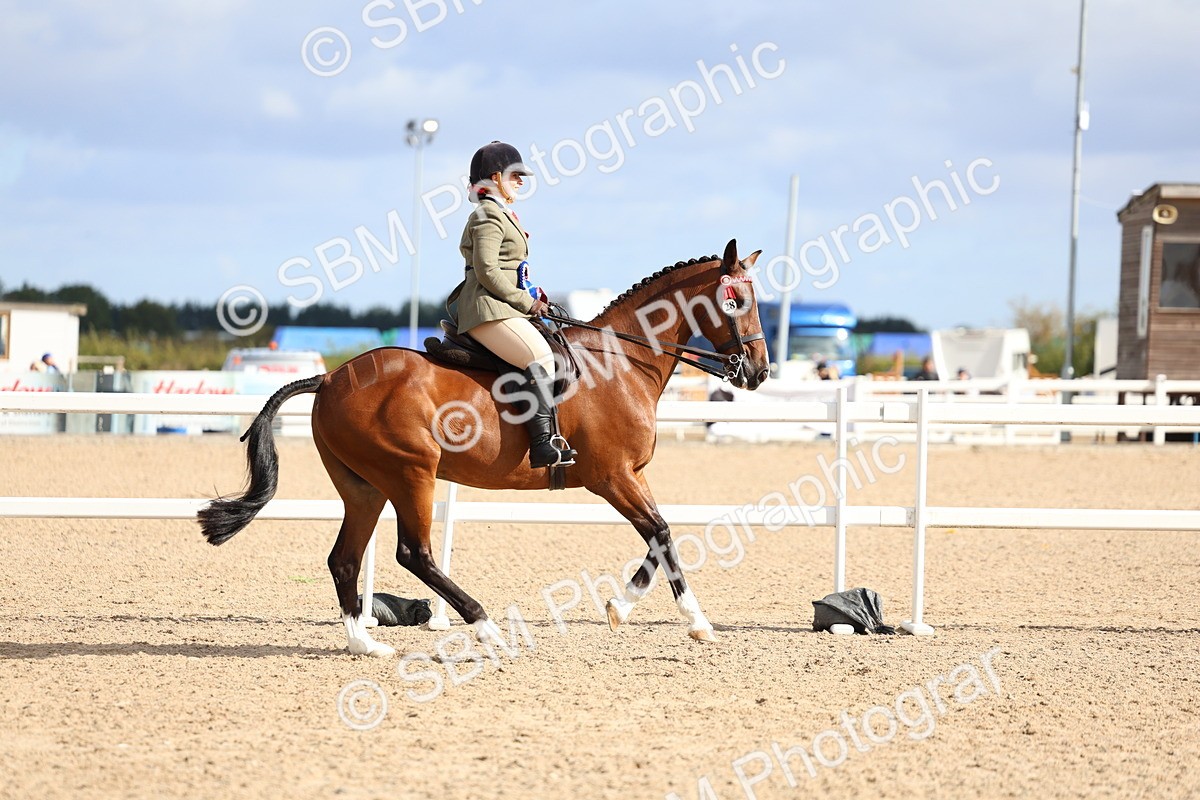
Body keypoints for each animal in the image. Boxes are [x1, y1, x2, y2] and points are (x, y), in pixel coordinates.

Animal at [197, 239, 770, 656]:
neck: (621, 362)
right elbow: (661, 532)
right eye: (736, 301)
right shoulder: (612, 477)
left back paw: (366, 644)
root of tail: (331, 376)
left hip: (365, 486)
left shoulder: (632, 474)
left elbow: (661, 536)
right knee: (414, 553)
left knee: (345, 558)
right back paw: (485, 626)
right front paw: (674, 618)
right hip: (411, 474)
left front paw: (639, 611)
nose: (759, 372)